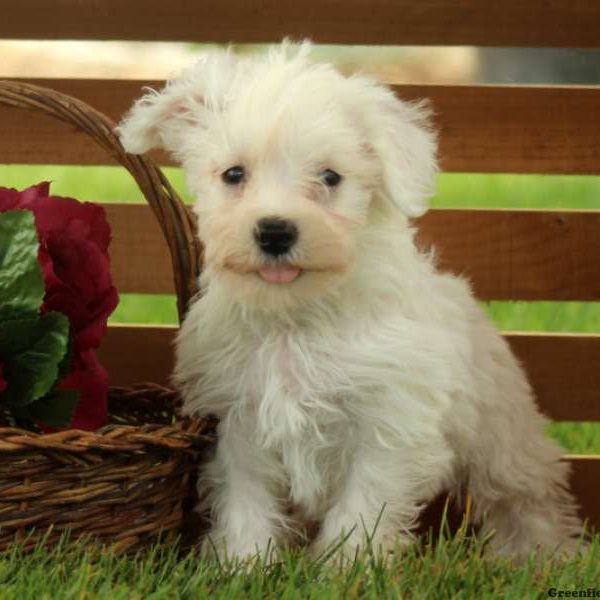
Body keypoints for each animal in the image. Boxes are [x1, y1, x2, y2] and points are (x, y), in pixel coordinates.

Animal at [119, 43, 584, 564]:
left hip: (501, 435)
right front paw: (244, 564)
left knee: (526, 496)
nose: (275, 231)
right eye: (234, 174)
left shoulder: (386, 425)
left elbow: (363, 506)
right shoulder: (238, 421)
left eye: (330, 177)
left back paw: (542, 555)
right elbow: (247, 499)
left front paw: (347, 567)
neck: (297, 317)